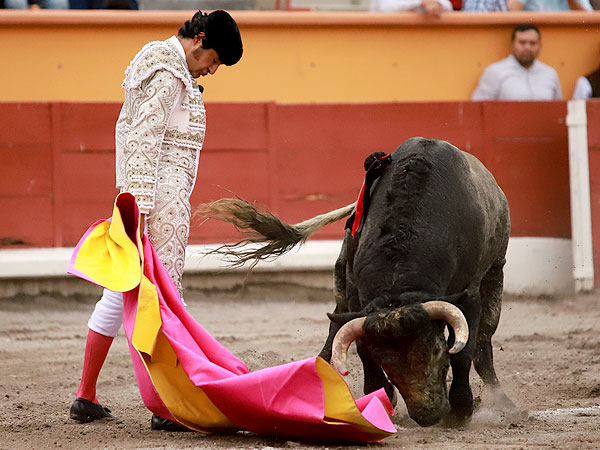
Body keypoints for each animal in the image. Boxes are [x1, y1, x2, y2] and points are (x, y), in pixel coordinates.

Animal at [199, 138, 516, 428]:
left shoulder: (469, 295)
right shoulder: (356, 296)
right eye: (387, 362)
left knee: (483, 342)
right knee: (334, 328)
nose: (429, 415)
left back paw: (504, 402)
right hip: (341, 275)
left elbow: (464, 351)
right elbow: (361, 346)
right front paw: (379, 395)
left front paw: (460, 411)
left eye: (438, 351)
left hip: (496, 272)